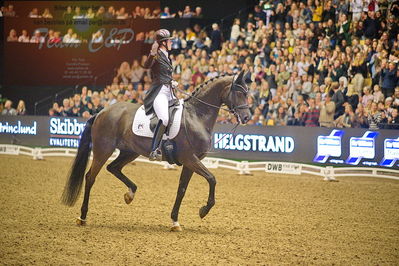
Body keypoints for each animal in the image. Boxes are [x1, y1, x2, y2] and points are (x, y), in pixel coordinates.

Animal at [61, 69, 252, 232]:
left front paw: (175, 222)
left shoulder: (191, 162)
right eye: (240, 93)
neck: (196, 116)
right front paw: (203, 210)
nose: (247, 117)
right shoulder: (190, 158)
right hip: (103, 150)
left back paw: (130, 194)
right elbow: (212, 179)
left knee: (113, 168)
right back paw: (82, 217)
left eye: (248, 93)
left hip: (130, 152)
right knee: (90, 177)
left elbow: (182, 190)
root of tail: (101, 111)